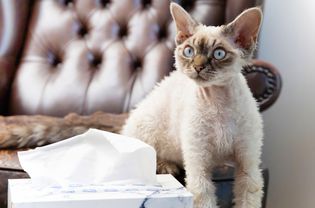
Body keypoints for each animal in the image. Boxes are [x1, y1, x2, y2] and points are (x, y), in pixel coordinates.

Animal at [122, 2, 266, 208]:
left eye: (219, 54)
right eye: (189, 51)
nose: (197, 67)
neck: (218, 101)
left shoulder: (248, 164)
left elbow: (249, 198)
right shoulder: (198, 163)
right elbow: (204, 197)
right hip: (146, 128)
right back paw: (167, 166)